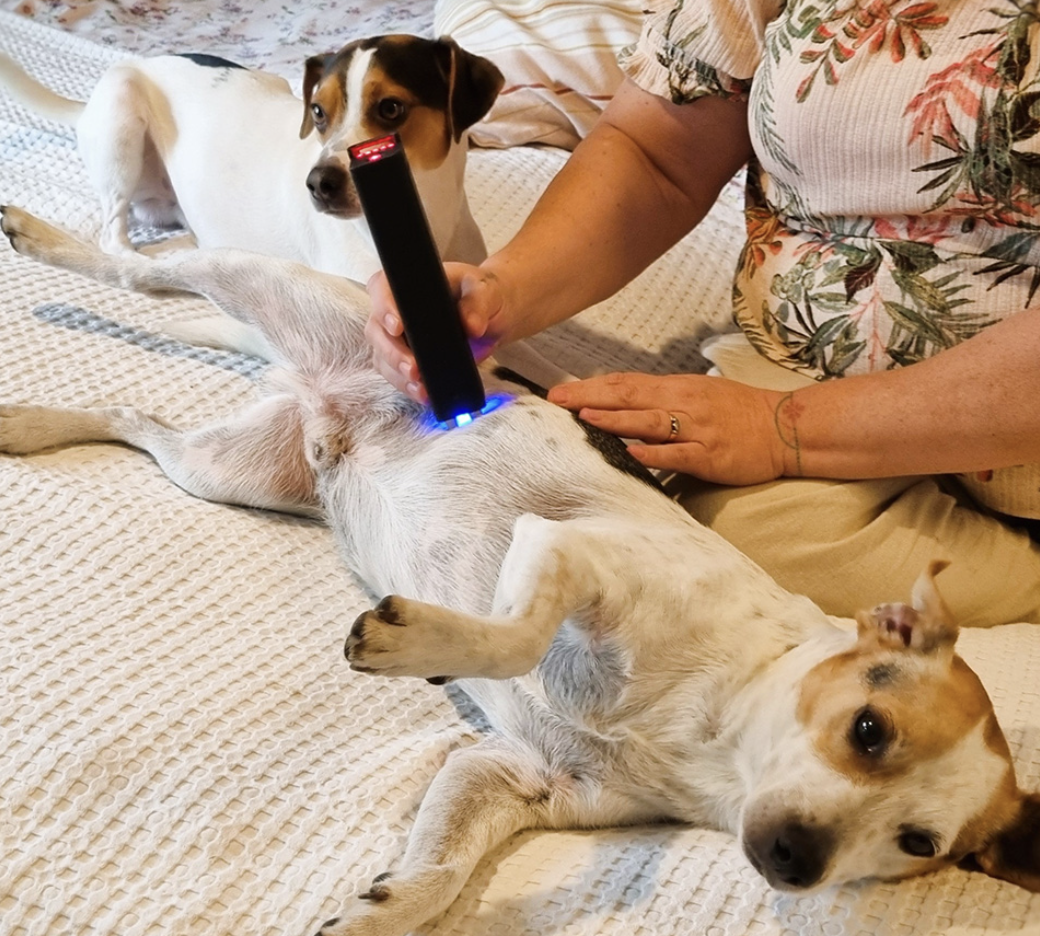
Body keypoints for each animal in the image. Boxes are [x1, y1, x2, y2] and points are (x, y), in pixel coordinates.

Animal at [2, 205, 1039, 936]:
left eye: (917, 844)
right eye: (868, 729)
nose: (793, 859)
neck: (719, 737)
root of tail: (315, 386)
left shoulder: (512, 779)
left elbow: (437, 875)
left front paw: (382, 909)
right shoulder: (565, 552)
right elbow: (509, 637)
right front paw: (419, 641)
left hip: (224, 471)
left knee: (130, 419)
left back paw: (29, 423)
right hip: (262, 285)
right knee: (144, 268)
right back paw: (43, 235)